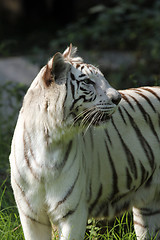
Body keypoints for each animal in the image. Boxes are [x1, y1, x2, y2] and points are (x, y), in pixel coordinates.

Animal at [9, 44, 160, 240]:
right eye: (88, 81)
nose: (118, 98)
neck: (47, 141)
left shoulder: (72, 212)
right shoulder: (31, 215)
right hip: (148, 207)